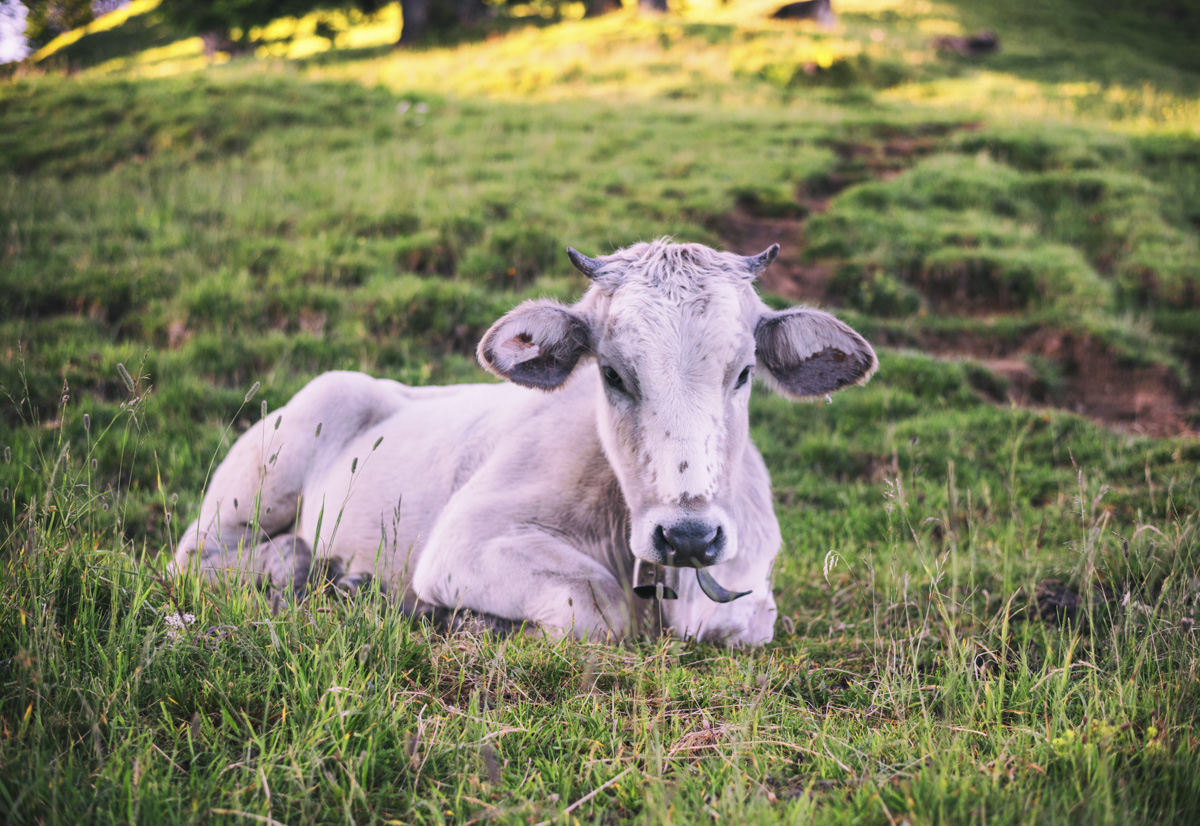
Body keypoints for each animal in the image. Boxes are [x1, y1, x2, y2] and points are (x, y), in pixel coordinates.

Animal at [171, 239, 877, 646]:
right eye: (612, 373)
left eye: (745, 372)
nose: (688, 536)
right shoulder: (467, 542)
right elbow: (599, 606)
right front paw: (458, 619)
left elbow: (735, 623)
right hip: (255, 485)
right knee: (200, 560)